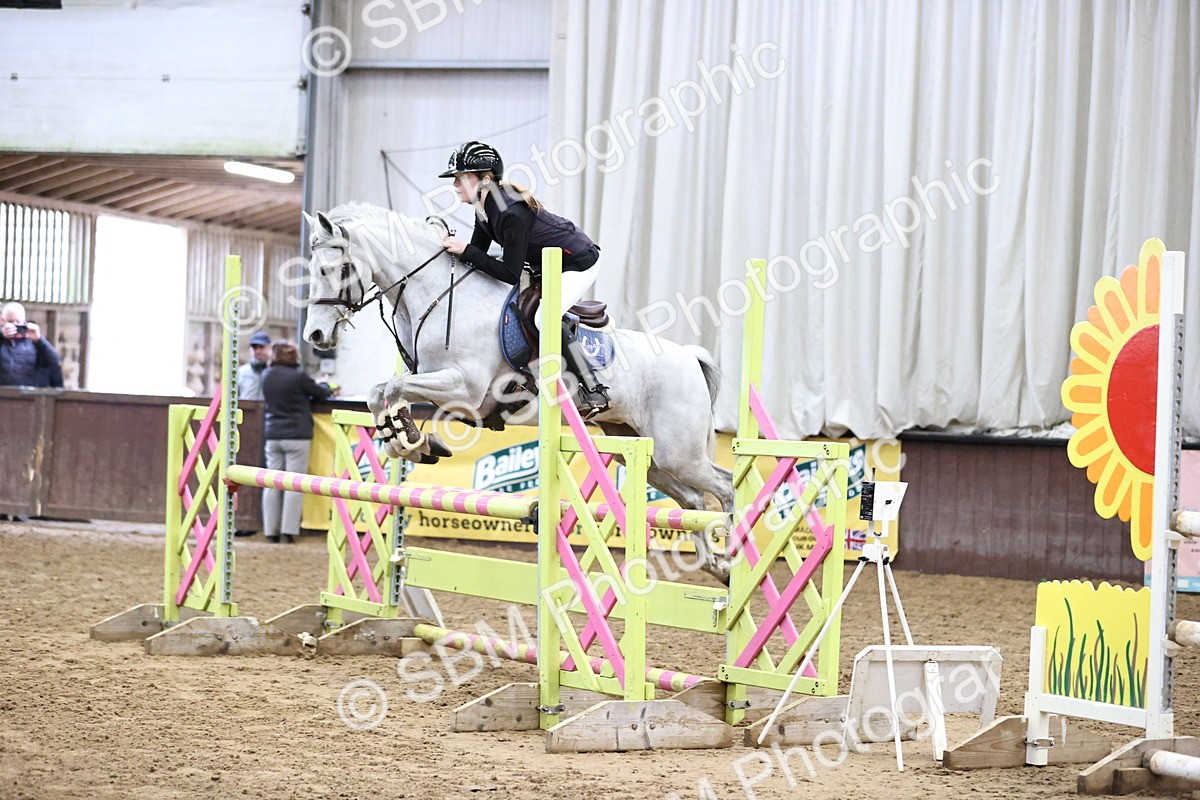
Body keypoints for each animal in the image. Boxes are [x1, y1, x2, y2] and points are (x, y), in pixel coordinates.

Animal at [301, 202, 734, 580]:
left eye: (333, 269)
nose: (316, 336)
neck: (440, 296)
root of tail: (689, 355)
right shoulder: (439, 383)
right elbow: (380, 392)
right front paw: (409, 442)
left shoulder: (465, 388)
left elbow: (390, 387)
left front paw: (411, 441)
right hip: (641, 450)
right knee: (694, 501)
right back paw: (717, 568)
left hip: (678, 451)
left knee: (725, 485)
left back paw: (733, 554)